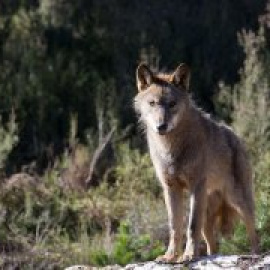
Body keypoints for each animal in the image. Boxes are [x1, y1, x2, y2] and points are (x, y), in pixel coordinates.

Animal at [134, 62, 258, 262]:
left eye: (172, 104)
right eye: (152, 103)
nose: (161, 126)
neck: (171, 147)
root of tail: (237, 137)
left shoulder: (196, 186)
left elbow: (191, 227)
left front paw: (188, 255)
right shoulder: (170, 188)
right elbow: (175, 226)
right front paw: (170, 256)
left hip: (238, 200)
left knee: (253, 231)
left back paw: (255, 254)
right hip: (208, 217)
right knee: (213, 245)